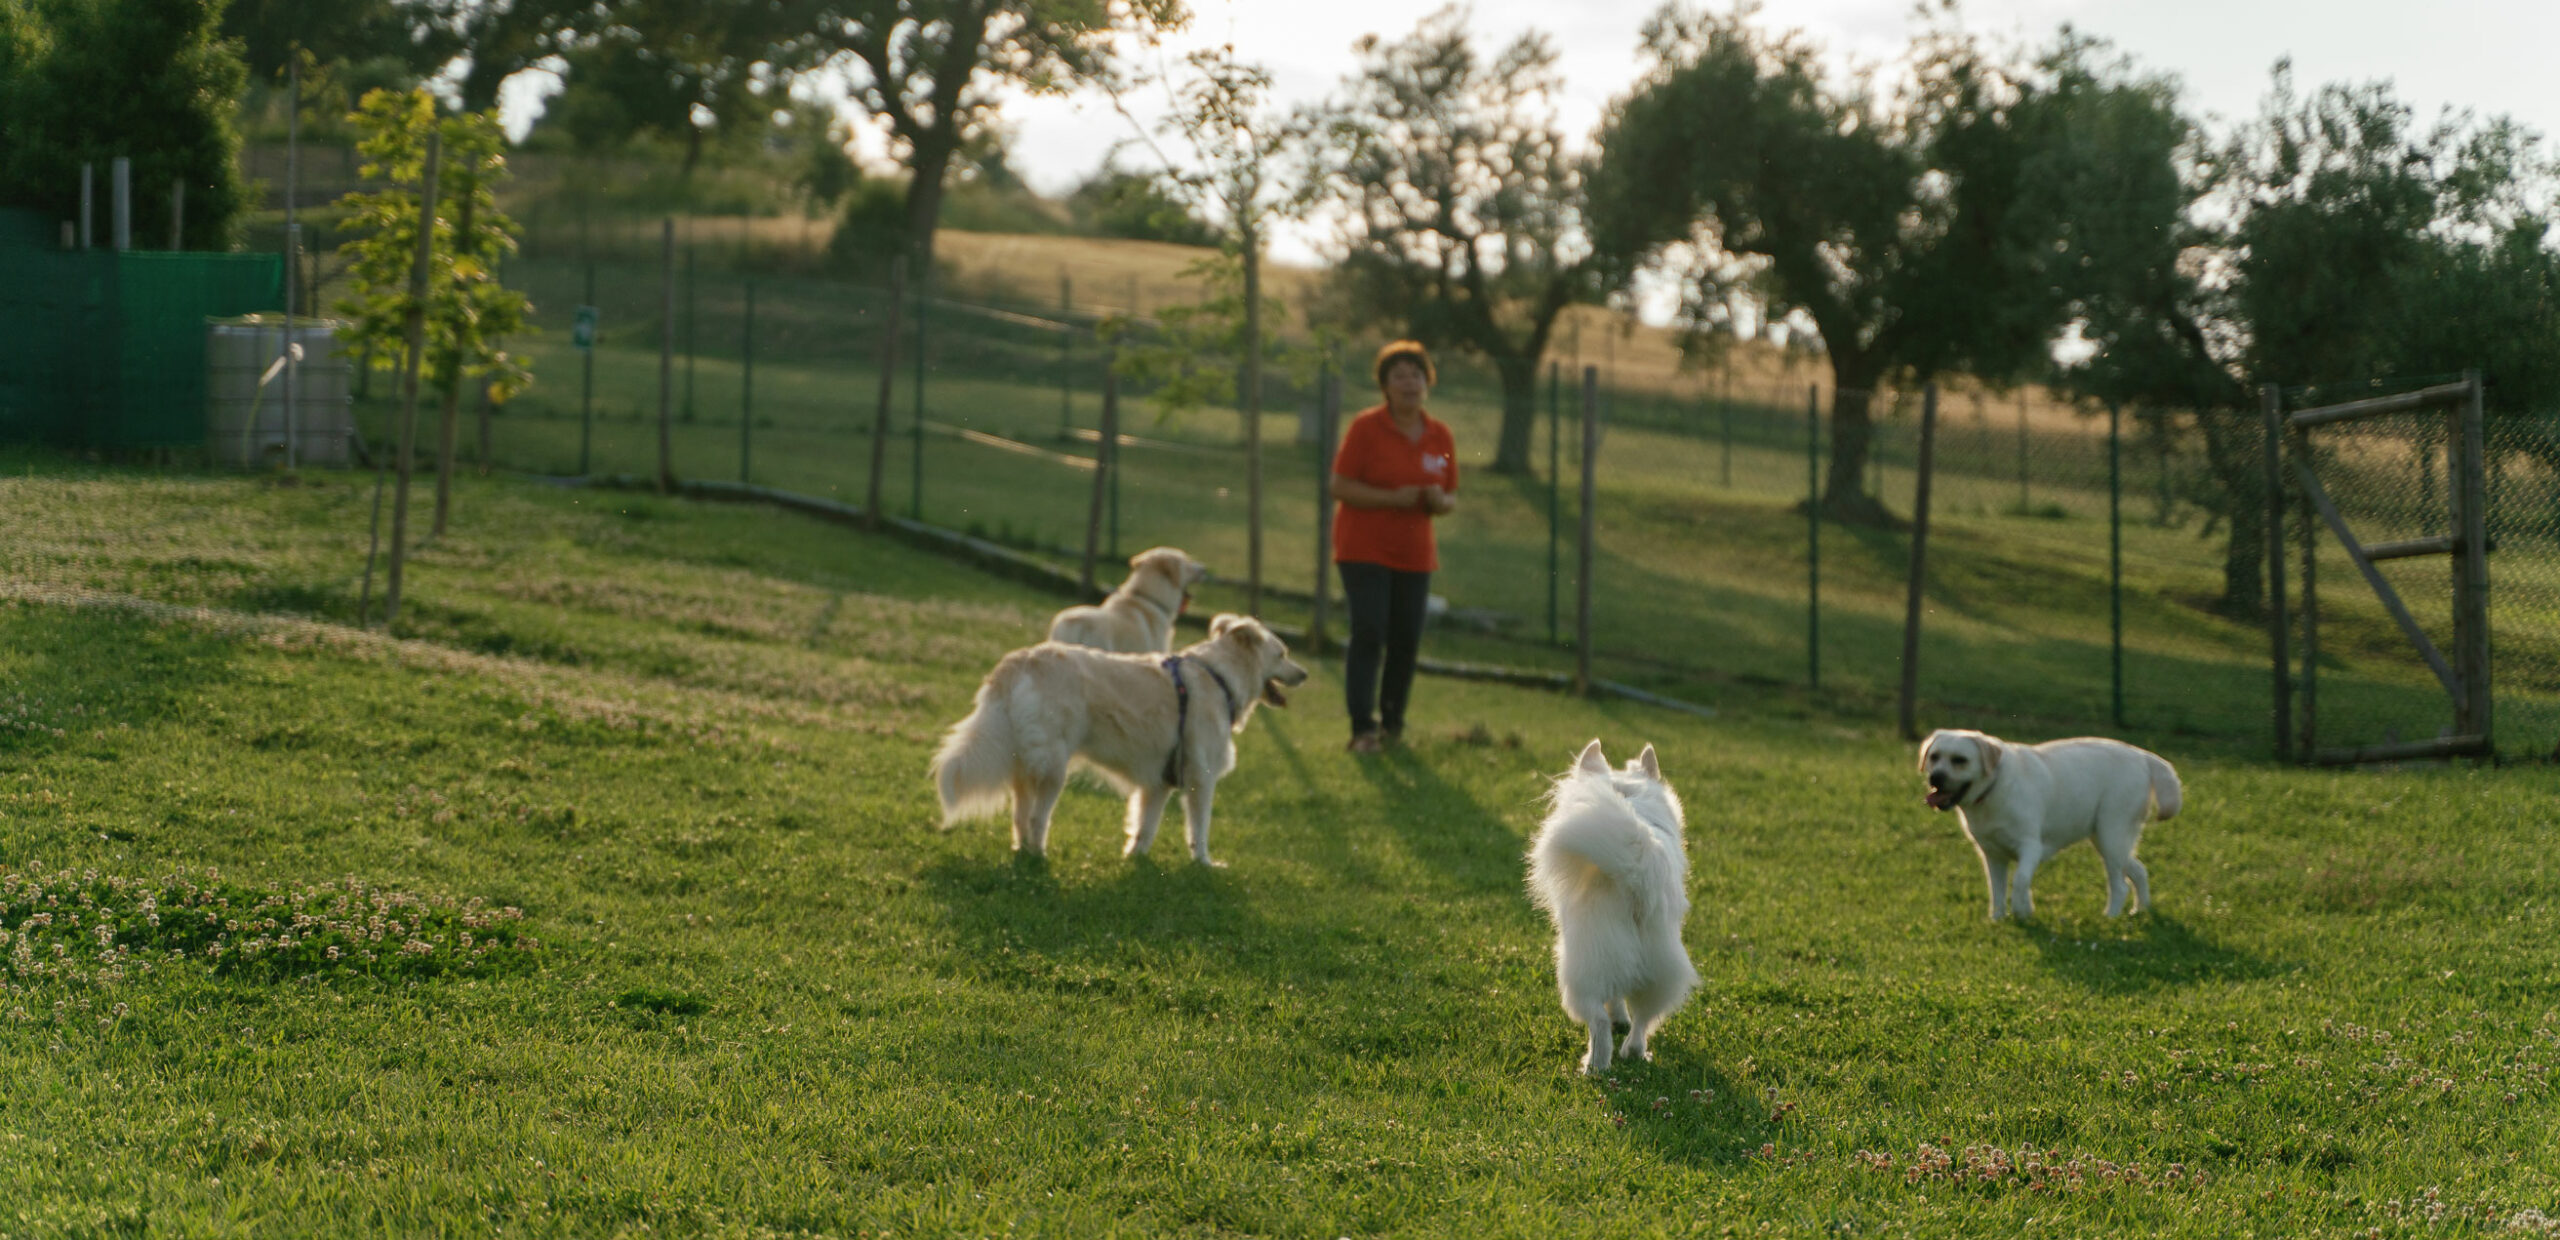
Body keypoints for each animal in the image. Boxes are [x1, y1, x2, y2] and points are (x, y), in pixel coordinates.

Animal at [931, 614, 1310, 865]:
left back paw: (1023, 852)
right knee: (1038, 819)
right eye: (1282, 653)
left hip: (1025, 767)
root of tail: (1018, 662)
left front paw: (1135, 858)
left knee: (1020, 817)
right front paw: (1204, 864)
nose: (1305, 674)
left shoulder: (1159, 783)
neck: (1218, 677)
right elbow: (1199, 828)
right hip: (1053, 769)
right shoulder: (1200, 778)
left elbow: (1146, 825)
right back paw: (1040, 858)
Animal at [1515, 737, 1699, 1076]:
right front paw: (1621, 1020)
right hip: (1661, 969)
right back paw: (1634, 1051)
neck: (1627, 797)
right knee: (1644, 1019)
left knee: (1598, 1022)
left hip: (1580, 973)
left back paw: (1594, 1066)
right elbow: (1620, 1001)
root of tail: (1638, 872)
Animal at [1925, 727, 2181, 922]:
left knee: (2120, 886)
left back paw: (2110, 917)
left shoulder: (2030, 846)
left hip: (2111, 836)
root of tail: (2142, 755)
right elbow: (1996, 890)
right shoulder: (1993, 855)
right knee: (2140, 870)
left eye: (1960, 760)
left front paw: (2022, 911)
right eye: (1934, 757)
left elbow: (2020, 880)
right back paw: (2140, 911)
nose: (1935, 777)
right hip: (2108, 841)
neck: (1992, 790)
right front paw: (1997, 919)